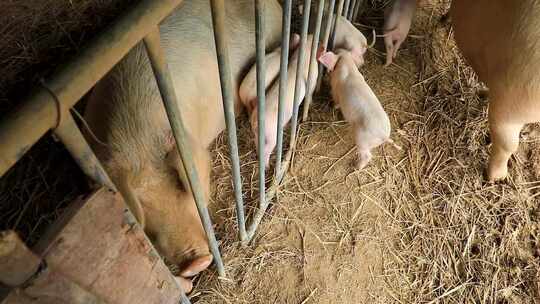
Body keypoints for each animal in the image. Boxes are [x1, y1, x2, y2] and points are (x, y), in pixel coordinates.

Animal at [250, 35, 320, 166]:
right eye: (317, 42)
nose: (312, 35)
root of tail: (256, 121)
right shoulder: (312, 79)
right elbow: (310, 94)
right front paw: (312, 104)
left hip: (257, 136)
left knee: (257, 146)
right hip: (271, 135)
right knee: (266, 151)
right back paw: (267, 166)